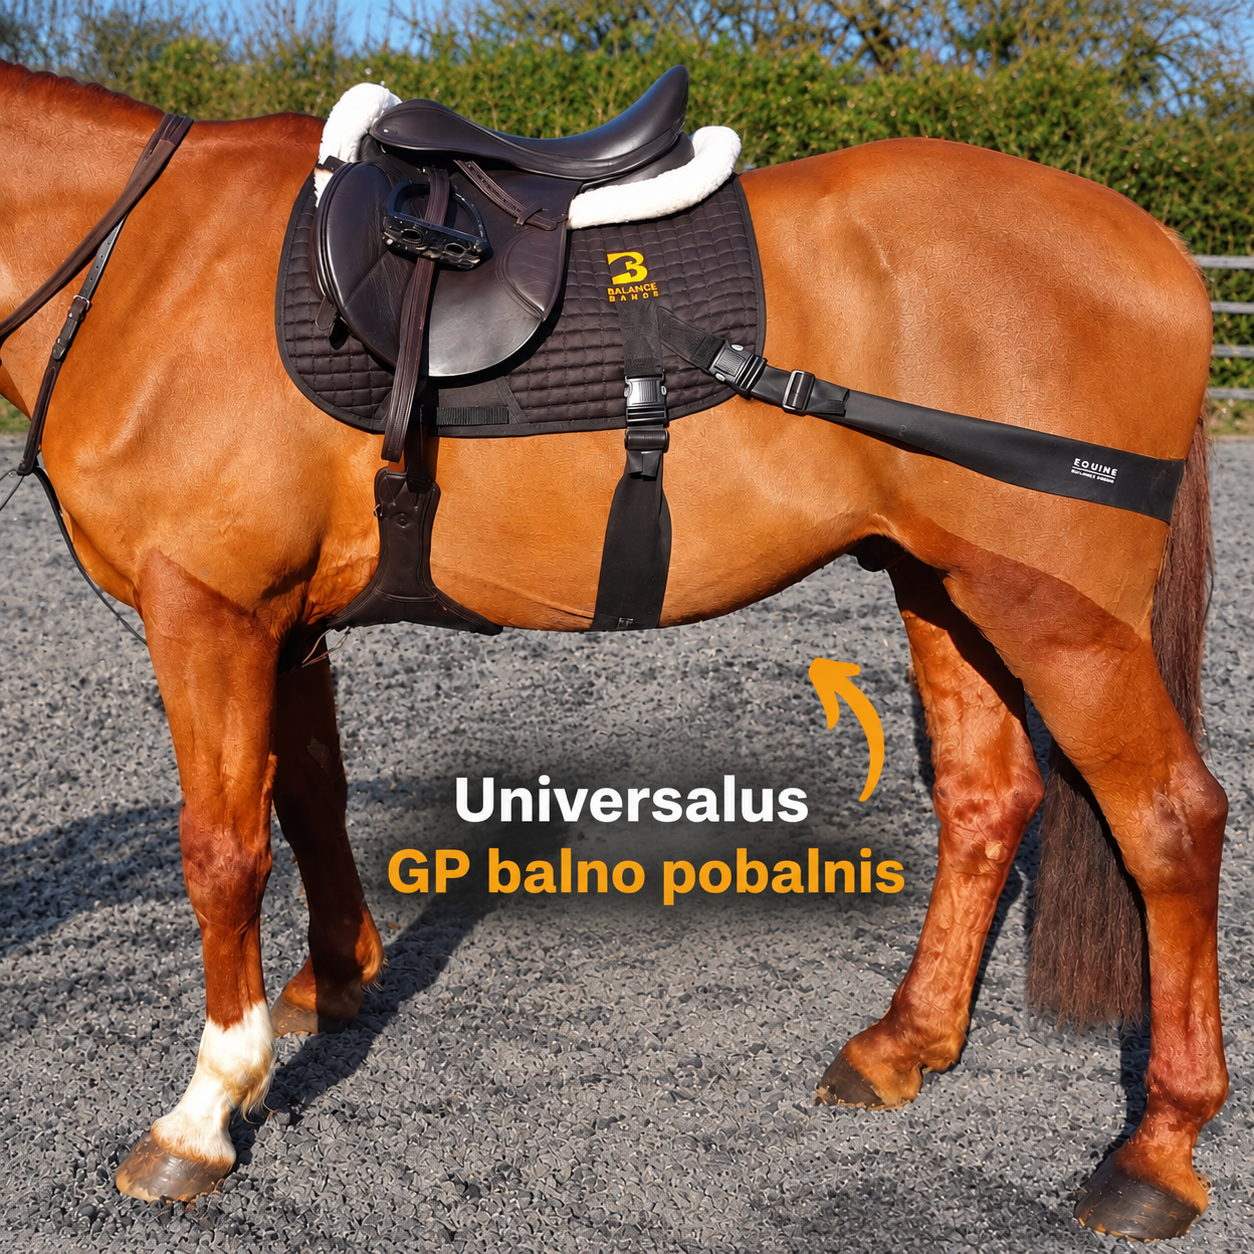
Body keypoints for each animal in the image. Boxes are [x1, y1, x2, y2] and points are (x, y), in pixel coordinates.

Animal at [0, 60, 1224, 1241]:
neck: (151, 263)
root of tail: (1159, 249)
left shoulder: (209, 610)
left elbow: (222, 853)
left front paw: (206, 1109)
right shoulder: (283, 622)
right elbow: (307, 797)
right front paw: (338, 980)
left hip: (1060, 617)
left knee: (1170, 824)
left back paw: (1155, 1151)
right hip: (945, 584)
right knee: (986, 799)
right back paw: (904, 1044)